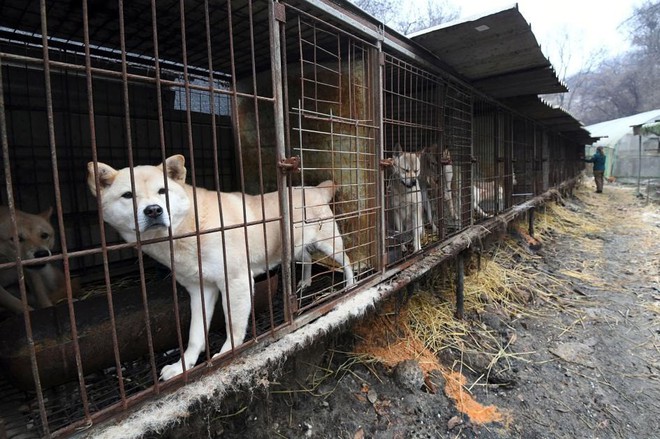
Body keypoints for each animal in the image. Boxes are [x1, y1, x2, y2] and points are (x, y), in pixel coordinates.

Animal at [89, 155, 356, 382]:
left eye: (162, 191)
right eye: (127, 195)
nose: (153, 210)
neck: (191, 228)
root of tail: (315, 189)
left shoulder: (236, 281)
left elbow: (234, 326)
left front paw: (227, 353)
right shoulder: (200, 289)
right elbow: (195, 335)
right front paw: (182, 366)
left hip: (329, 244)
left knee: (347, 261)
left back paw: (350, 285)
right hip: (294, 247)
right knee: (308, 259)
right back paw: (305, 283)